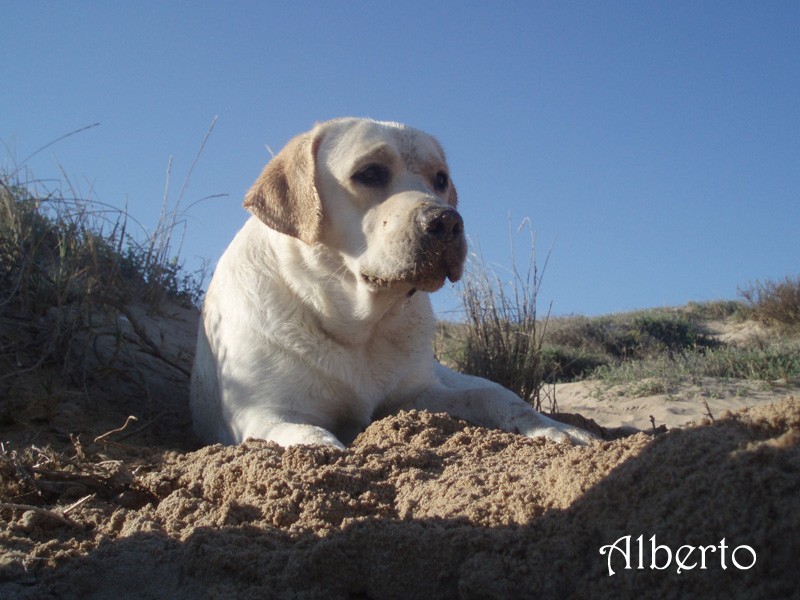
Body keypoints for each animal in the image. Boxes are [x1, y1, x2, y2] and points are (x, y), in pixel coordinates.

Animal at [192, 117, 592, 448]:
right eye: (370, 173)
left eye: (440, 178)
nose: (447, 222)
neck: (356, 327)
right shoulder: (263, 414)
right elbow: (316, 438)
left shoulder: (415, 395)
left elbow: (483, 398)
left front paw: (552, 428)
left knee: (499, 394)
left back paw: (562, 428)